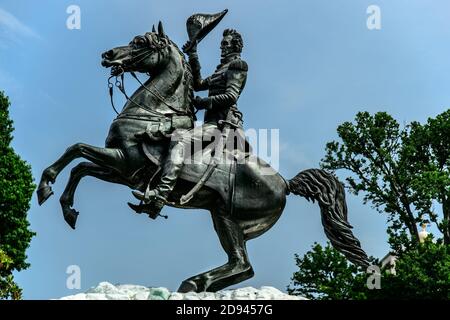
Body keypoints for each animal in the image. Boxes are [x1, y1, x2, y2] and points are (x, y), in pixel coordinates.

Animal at [37, 21, 370, 292]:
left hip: (230, 219)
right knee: (240, 264)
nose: (107, 55)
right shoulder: (122, 172)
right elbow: (80, 166)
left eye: (141, 42)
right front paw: (66, 208)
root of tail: (286, 184)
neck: (152, 113)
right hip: (221, 216)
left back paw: (194, 281)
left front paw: (46, 188)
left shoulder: (124, 161)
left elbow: (76, 150)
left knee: (243, 266)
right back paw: (196, 283)